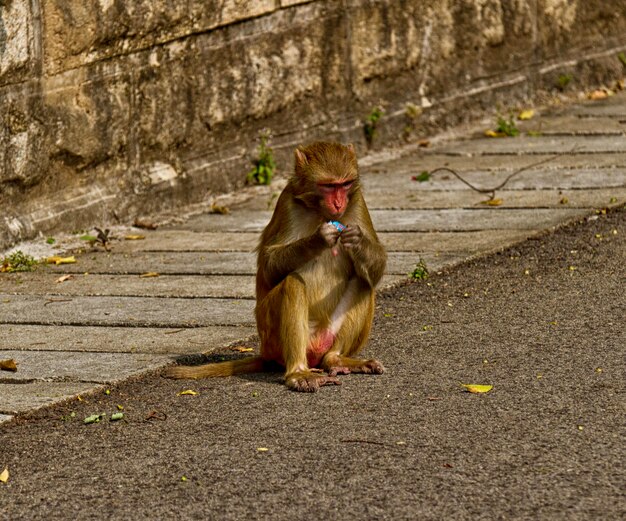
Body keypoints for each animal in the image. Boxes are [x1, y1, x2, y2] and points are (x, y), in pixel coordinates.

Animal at [168, 140, 388, 392]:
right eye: (328, 186)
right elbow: (269, 267)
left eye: (345, 184)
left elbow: (376, 268)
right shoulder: (287, 205)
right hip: (272, 336)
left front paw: (357, 240)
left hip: (326, 336)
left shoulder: (358, 201)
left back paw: (337, 359)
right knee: (293, 284)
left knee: (364, 281)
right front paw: (318, 238)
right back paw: (298, 373)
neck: (318, 210)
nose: (339, 203)